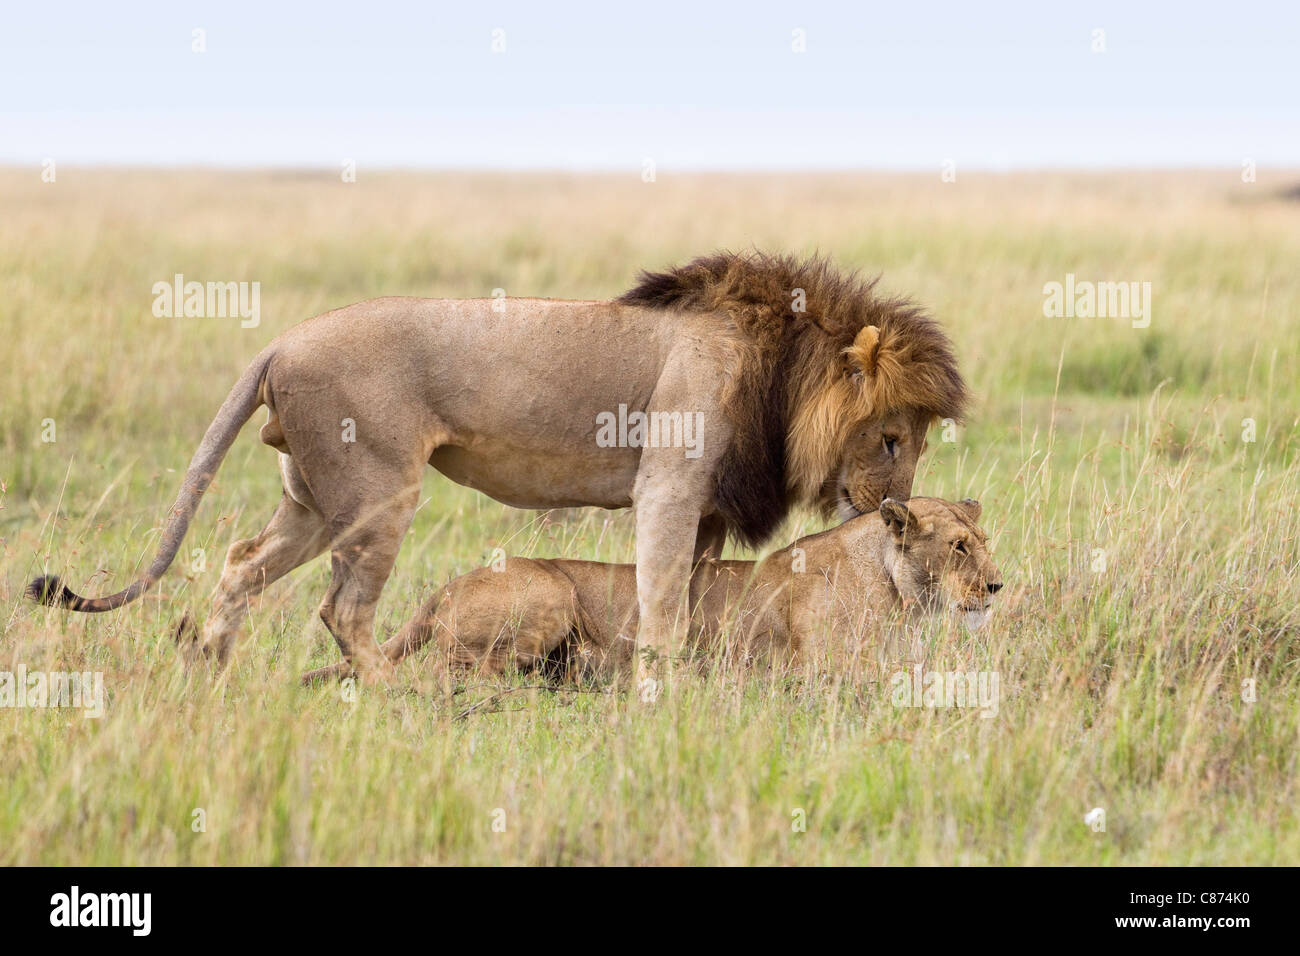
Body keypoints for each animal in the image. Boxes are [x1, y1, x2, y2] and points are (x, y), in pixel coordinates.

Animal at [300, 497, 1003, 683]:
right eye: (957, 546)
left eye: (984, 539)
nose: (996, 586)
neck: (897, 588)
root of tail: (445, 587)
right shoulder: (824, 667)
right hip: (551, 592)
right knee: (447, 671)